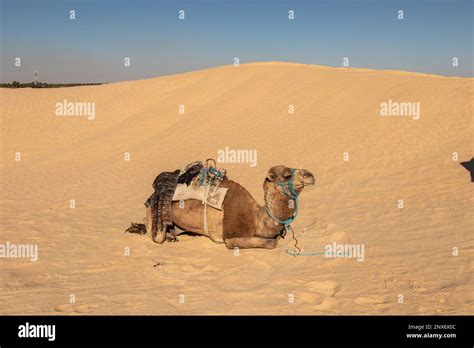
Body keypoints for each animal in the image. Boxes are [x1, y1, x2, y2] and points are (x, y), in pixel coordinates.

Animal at [128, 165, 316, 249]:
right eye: (286, 175)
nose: (310, 174)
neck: (257, 219)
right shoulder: (231, 238)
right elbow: (272, 242)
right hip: (154, 216)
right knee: (155, 232)